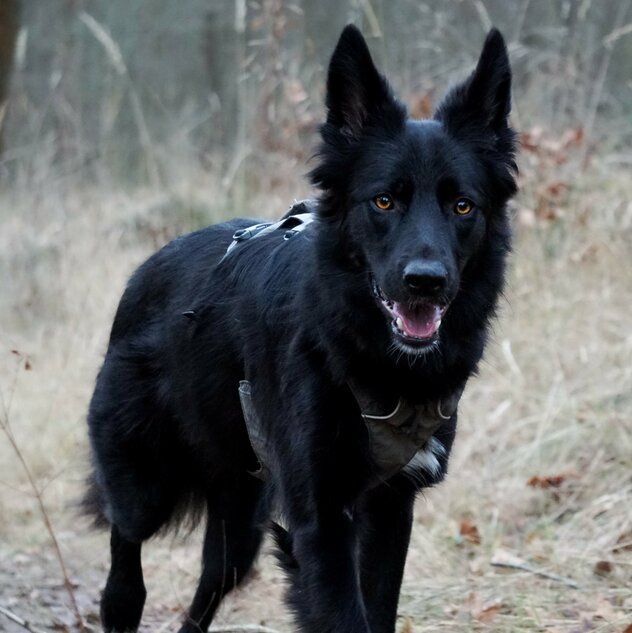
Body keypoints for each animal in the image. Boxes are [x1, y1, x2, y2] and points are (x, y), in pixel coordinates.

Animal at [85, 24, 520, 632]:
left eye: (462, 206)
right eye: (383, 200)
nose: (425, 282)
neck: (372, 361)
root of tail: (147, 267)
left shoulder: (390, 508)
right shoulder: (321, 520)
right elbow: (344, 615)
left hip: (241, 524)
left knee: (209, 588)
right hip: (143, 482)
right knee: (124, 557)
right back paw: (123, 595)